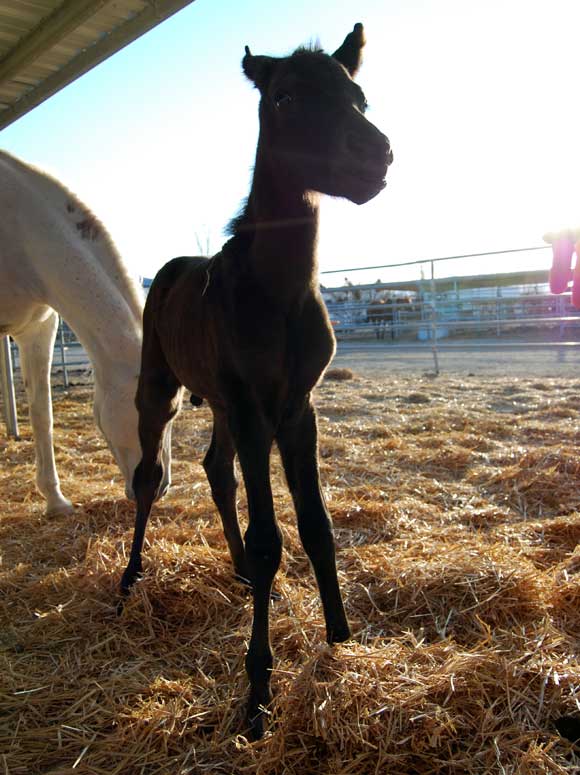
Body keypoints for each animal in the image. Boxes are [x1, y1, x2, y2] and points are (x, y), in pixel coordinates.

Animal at [121, 24, 394, 740]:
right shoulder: (252, 410)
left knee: (216, 469)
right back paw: (130, 576)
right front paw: (258, 692)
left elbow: (317, 525)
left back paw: (240, 569)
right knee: (147, 476)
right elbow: (273, 537)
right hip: (161, 388)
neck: (279, 293)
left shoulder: (296, 410)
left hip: (221, 404)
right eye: (286, 96)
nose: (375, 155)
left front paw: (341, 639)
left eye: (358, 96)